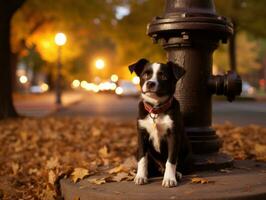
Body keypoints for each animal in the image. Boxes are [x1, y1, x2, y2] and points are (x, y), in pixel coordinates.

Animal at [128, 57, 189, 188]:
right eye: (146, 74)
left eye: (164, 76)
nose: (150, 83)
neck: (156, 110)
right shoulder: (142, 135)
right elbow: (142, 158)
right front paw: (141, 176)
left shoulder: (173, 136)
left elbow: (171, 159)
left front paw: (169, 178)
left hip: (186, 148)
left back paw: (177, 173)